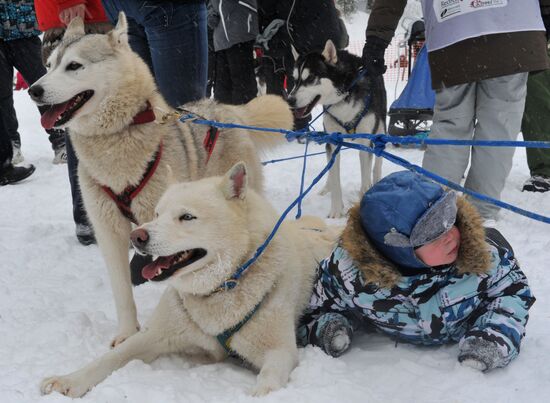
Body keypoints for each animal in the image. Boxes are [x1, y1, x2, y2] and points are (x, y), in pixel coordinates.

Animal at [40, 163, 336, 398]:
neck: (220, 287)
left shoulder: (280, 351)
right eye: (157, 214)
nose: (137, 236)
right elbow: (110, 358)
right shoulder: (155, 335)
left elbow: (268, 381)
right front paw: (69, 380)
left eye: (187, 217)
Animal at [286, 39, 386, 219]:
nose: (290, 100)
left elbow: (365, 175)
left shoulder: (365, 142)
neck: (343, 97)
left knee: (377, 161)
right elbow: (335, 177)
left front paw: (363, 198)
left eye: (311, 78)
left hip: (380, 131)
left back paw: (375, 180)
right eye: (295, 79)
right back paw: (327, 187)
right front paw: (336, 210)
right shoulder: (332, 141)